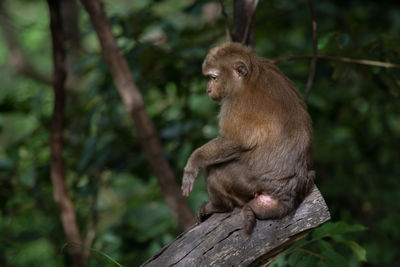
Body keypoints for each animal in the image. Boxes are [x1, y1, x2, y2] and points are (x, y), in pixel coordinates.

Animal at [182, 43, 316, 236]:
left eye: (214, 77)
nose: (208, 89)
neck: (248, 76)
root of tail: (289, 194)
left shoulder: (235, 103)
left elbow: (237, 141)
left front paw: (193, 163)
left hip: (250, 183)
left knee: (215, 171)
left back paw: (219, 206)